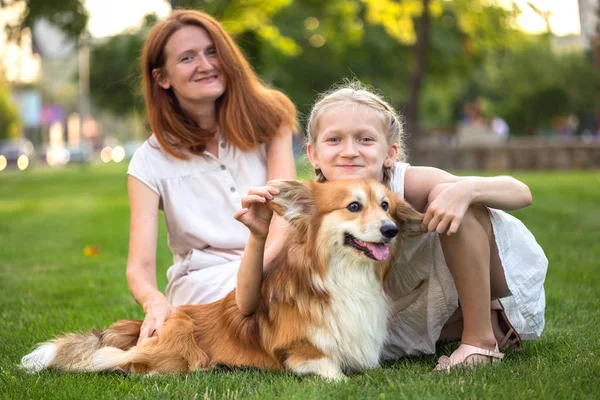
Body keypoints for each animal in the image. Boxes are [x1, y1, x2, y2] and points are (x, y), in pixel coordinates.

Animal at [19, 179, 422, 382]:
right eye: (354, 207)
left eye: (385, 206)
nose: (390, 230)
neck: (343, 275)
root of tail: (167, 316)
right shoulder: (300, 352)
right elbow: (333, 373)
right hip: (178, 350)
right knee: (111, 357)